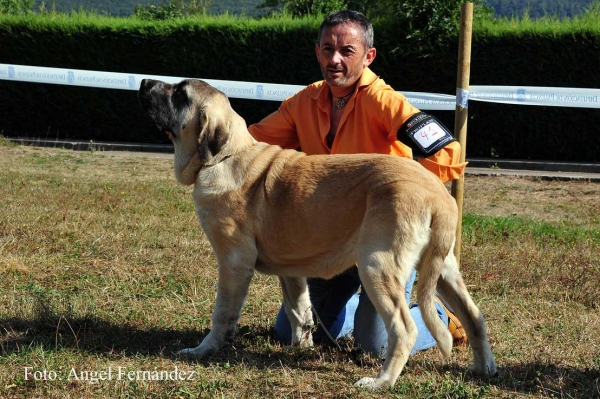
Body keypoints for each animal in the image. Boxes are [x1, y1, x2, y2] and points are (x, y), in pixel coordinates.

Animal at [137, 79, 496, 390]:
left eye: (180, 93)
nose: (144, 82)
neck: (226, 156)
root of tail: (439, 196)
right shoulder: (291, 271)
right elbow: (299, 309)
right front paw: (302, 347)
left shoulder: (233, 262)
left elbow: (222, 313)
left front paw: (203, 350)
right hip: (442, 269)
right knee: (474, 317)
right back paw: (484, 368)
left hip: (377, 267)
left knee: (403, 328)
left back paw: (381, 381)